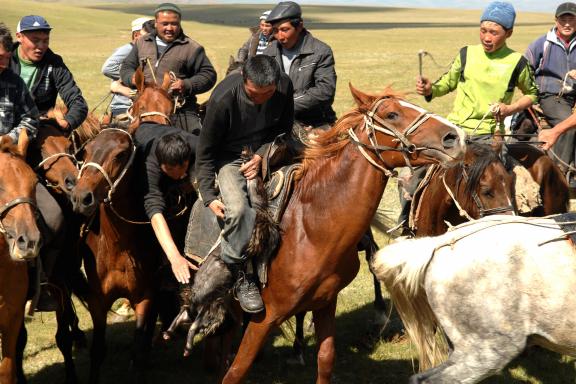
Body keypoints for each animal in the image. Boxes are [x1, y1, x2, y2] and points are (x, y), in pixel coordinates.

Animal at [218, 85, 466, 382]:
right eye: (391, 114)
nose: (455, 137)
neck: (309, 229)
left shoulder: (325, 301)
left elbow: (325, 358)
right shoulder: (265, 317)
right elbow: (235, 371)